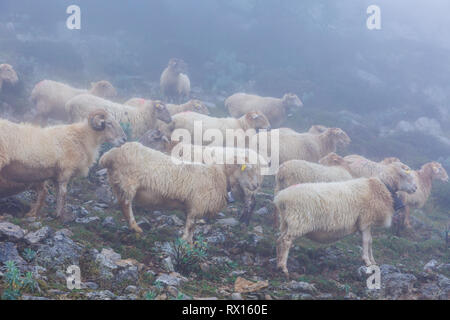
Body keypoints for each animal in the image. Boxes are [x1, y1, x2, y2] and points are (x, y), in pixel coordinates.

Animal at [98, 142, 260, 242]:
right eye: (247, 169)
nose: (256, 185)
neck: (219, 174)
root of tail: (110, 154)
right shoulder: (197, 204)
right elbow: (190, 225)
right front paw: (184, 241)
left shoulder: (193, 207)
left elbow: (193, 227)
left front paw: (190, 243)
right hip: (128, 182)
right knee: (126, 205)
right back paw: (136, 228)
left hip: (120, 183)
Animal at [274, 161, 418, 276]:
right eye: (406, 175)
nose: (416, 188)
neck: (381, 187)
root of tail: (282, 198)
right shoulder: (365, 220)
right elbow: (366, 241)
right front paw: (367, 261)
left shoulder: (368, 222)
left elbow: (370, 242)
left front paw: (373, 261)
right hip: (298, 221)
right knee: (286, 241)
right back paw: (283, 268)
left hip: (286, 222)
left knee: (280, 239)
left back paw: (278, 262)